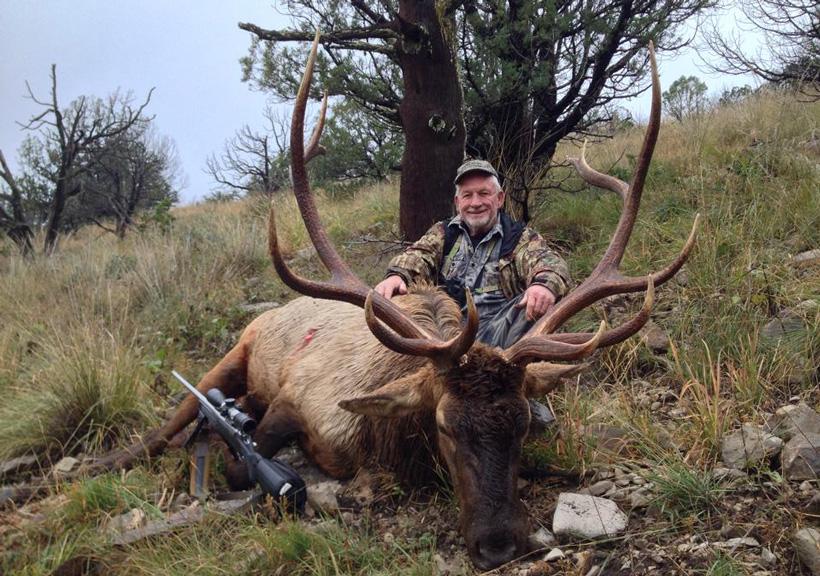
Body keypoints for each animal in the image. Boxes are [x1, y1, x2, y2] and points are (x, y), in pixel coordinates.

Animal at [96, 34, 698, 570]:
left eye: (523, 424)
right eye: (445, 425)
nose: (499, 546)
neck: (382, 440)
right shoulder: (297, 399)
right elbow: (244, 464)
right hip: (235, 352)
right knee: (172, 421)